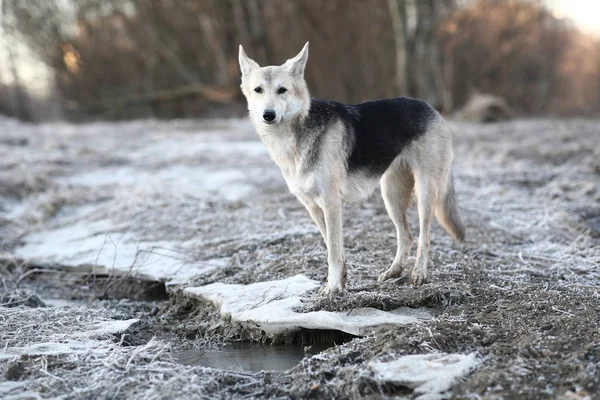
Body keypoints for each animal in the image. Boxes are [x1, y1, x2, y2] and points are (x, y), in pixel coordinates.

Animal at [238, 43, 464, 294]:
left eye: (282, 90)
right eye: (258, 90)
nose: (268, 115)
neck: (292, 139)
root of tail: (429, 107)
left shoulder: (331, 203)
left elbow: (334, 251)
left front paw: (333, 287)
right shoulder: (312, 206)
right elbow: (332, 246)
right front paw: (341, 280)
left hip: (425, 193)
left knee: (424, 237)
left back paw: (419, 274)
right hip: (391, 196)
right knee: (407, 236)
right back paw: (393, 272)